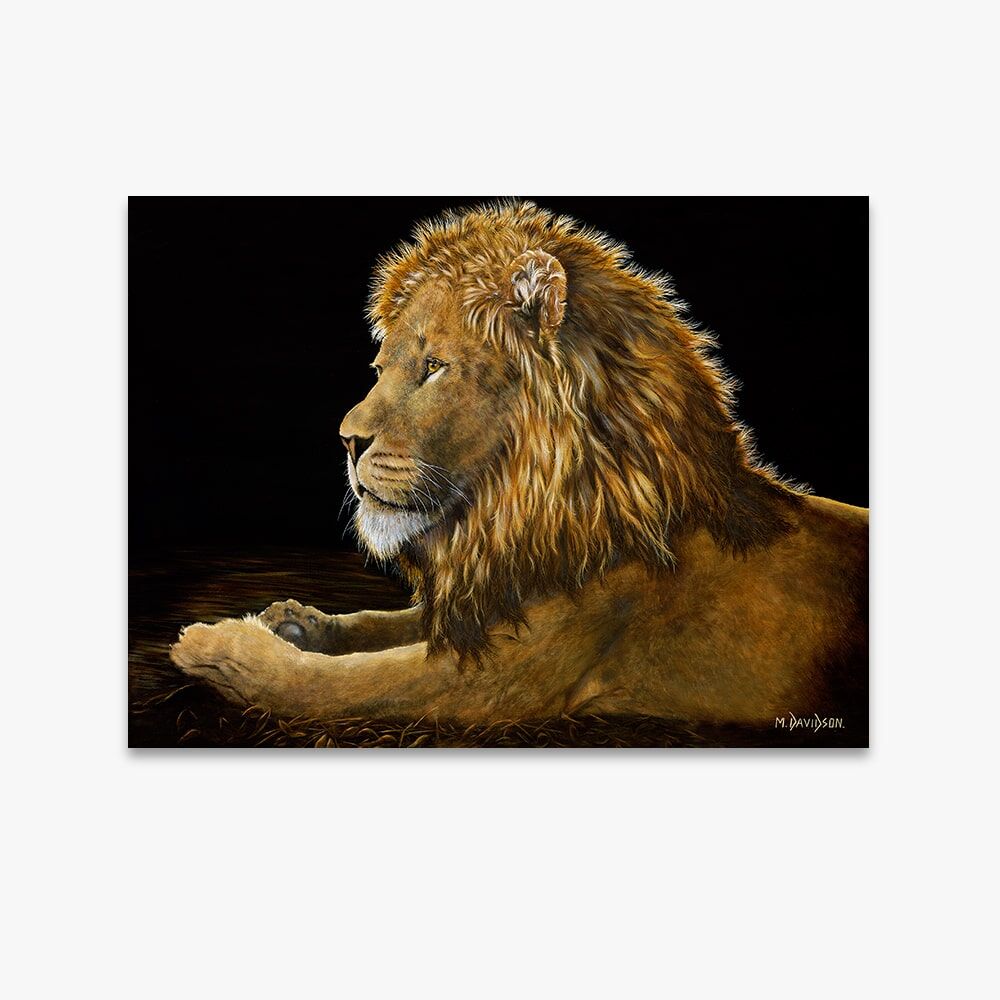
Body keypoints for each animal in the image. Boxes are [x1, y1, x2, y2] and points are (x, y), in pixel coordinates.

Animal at [170, 201, 868, 732]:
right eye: (381, 367)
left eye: (433, 367)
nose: (346, 441)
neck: (512, 511)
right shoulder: (483, 602)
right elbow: (380, 624)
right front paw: (294, 621)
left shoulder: (499, 681)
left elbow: (335, 685)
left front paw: (216, 644)